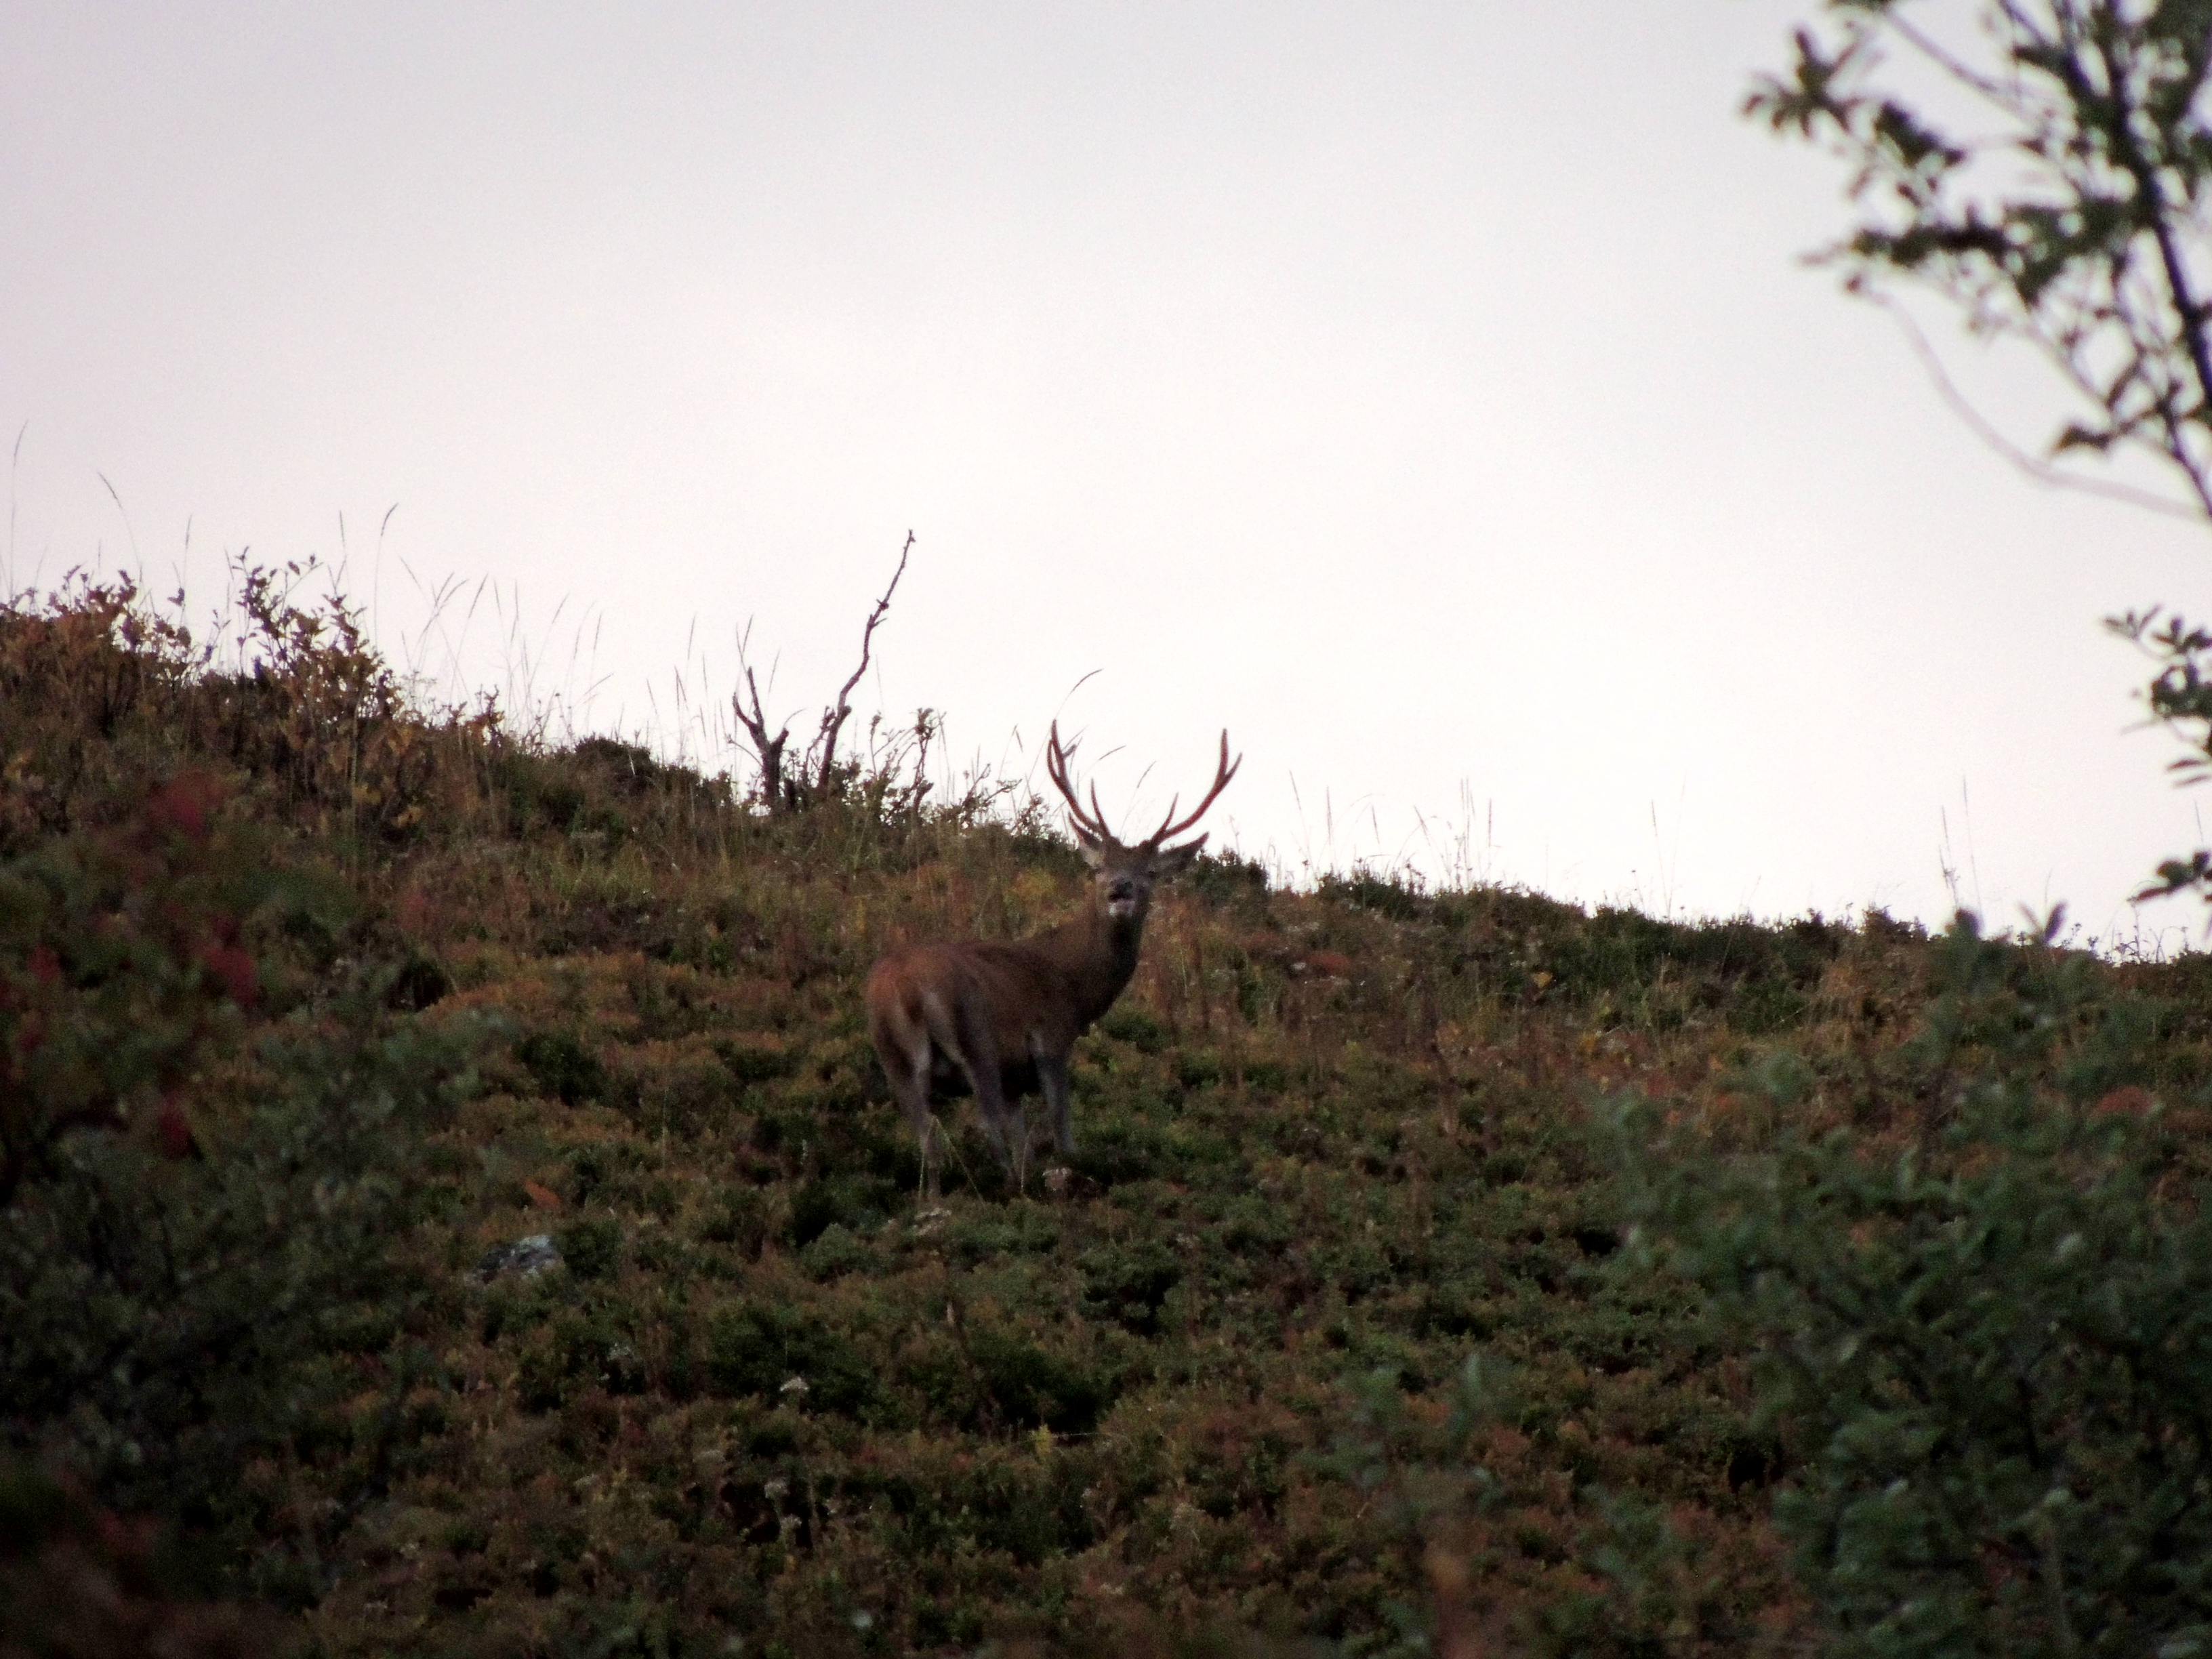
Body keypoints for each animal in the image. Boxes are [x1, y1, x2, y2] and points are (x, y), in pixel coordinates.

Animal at [865, 722, 1240, 1201]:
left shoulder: (1015, 1078)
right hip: (973, 1039)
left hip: (890, 1055)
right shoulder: (1050, 1041)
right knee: (984, 1126)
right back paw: (1008, 1192)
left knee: (927, 1134)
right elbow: (1063, 1133)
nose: (1120, 888)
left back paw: (934, 1201)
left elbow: (1025, 1141)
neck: (1075, 986)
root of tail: (904, 988)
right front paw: (1069, 1176)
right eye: (1099, 867)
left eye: (1150, 872)